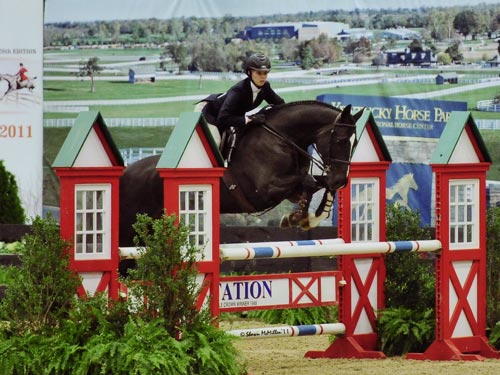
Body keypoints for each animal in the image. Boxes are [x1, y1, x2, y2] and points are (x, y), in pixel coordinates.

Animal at [119, 101, 362, 247]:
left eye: (355, 143)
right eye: (341, 140)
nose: (341, 181)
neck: (282, 138)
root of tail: (126, 172)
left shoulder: (291, 189)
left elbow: (316, 184)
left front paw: (310, 217)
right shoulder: (263, 190)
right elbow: (310, 182)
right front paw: (296, 217)